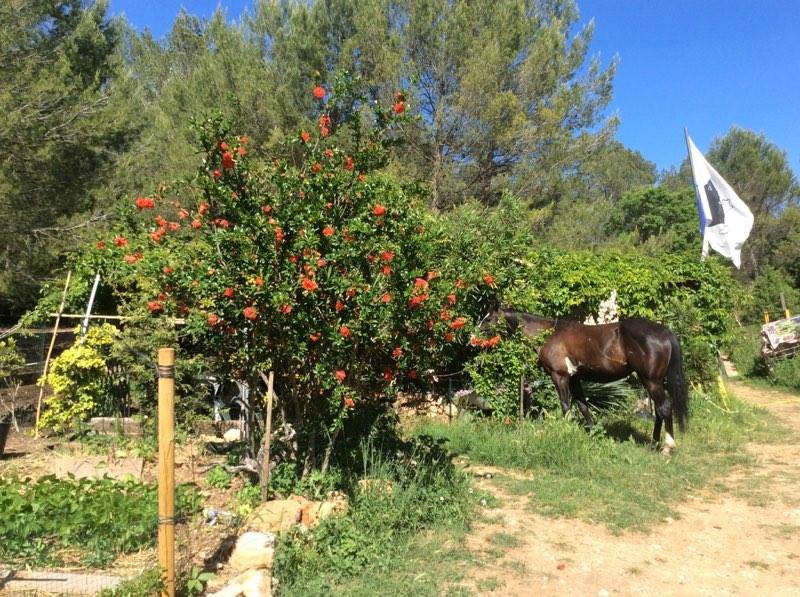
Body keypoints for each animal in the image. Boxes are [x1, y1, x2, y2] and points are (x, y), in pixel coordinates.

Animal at [482, 307, 689, 453]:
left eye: (489, 318)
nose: (475, 334)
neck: (549, 333)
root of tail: (664, 332)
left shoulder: (560, 376)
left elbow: (566, 406)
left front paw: (566, 431)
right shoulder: (575, 378)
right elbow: (583, 406)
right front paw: (594, 433)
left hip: (651, 381)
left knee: (664, 407)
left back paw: (667, 447)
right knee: (659, 410)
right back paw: (653, 445)